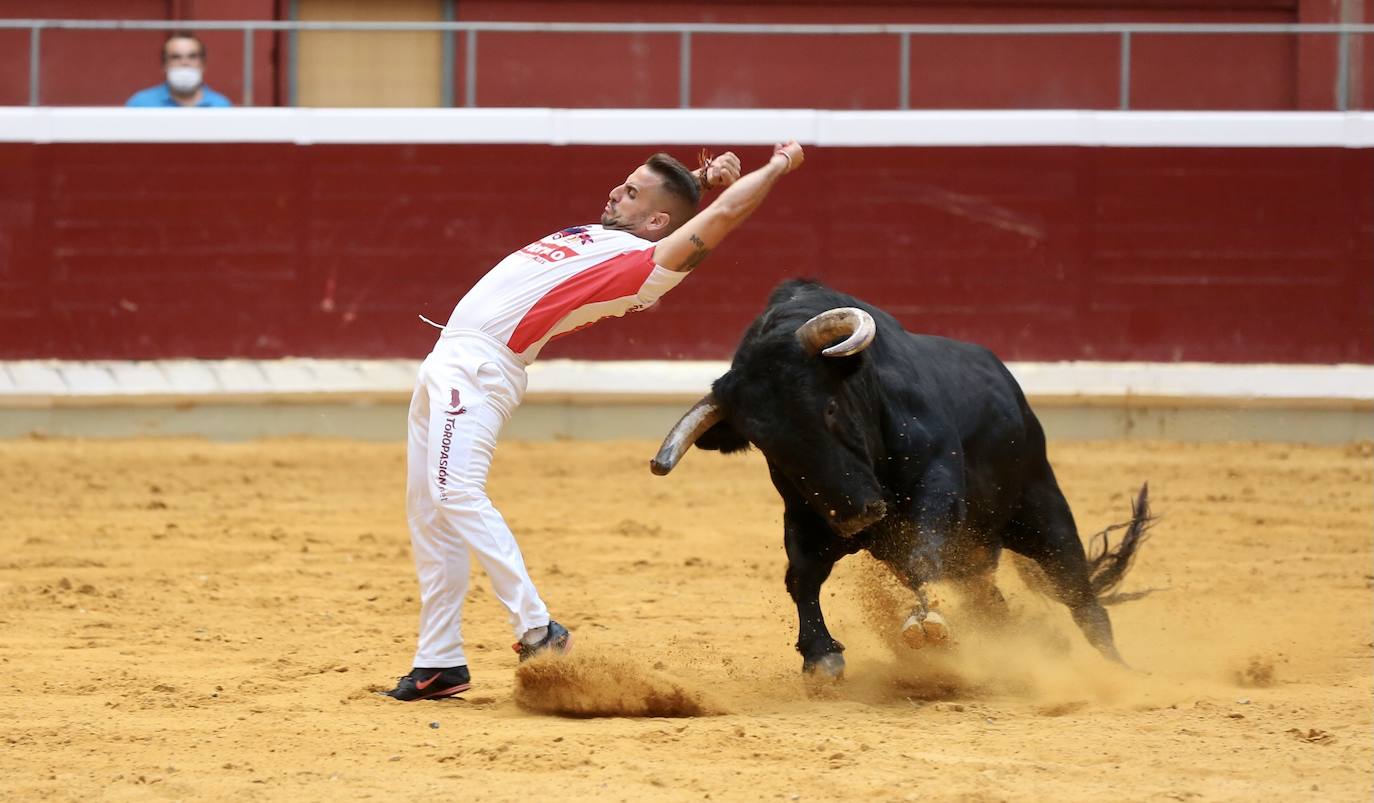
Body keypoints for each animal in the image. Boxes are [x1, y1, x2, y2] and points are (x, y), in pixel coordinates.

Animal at [648, 281, 1154, 676]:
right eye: (769, 446)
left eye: (828, 409)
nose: (857, 515)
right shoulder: (809, 517)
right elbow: (802, 577)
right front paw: (820, 656)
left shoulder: (935, 485)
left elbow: (923, 547)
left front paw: (924, 624)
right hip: (971, 556)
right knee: (993, 607)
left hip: (1042, 511)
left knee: (1082, 600)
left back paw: (1120, 672)